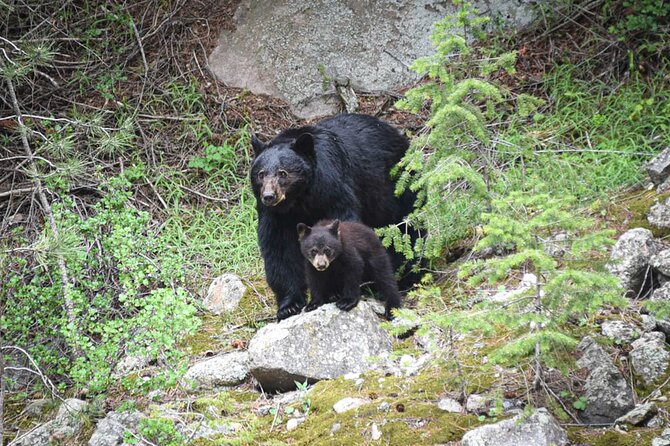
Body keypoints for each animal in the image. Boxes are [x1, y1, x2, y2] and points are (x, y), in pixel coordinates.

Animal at [252, 113, 414, 318]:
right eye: (260, 174)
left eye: (283, 173)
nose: (269, 196)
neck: (300, 199)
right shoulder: (276, 216)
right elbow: (279, 248)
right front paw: (289, 305)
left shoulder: (333, 189)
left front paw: (335, 291)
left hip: (399, 188)